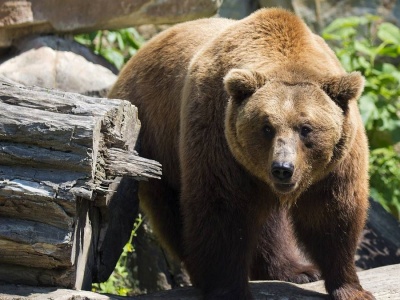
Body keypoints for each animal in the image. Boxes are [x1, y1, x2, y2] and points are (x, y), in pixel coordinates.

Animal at [108, 7, 374, 300]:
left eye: (306, 128)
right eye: (267, 127)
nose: (283, 168)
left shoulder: (336, 163)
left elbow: (333, 214)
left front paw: (350, 287)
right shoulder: (218, 137)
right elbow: (223, 210)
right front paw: (228, 288)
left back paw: (296, 270)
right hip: (156, 141)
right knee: (173, 214)